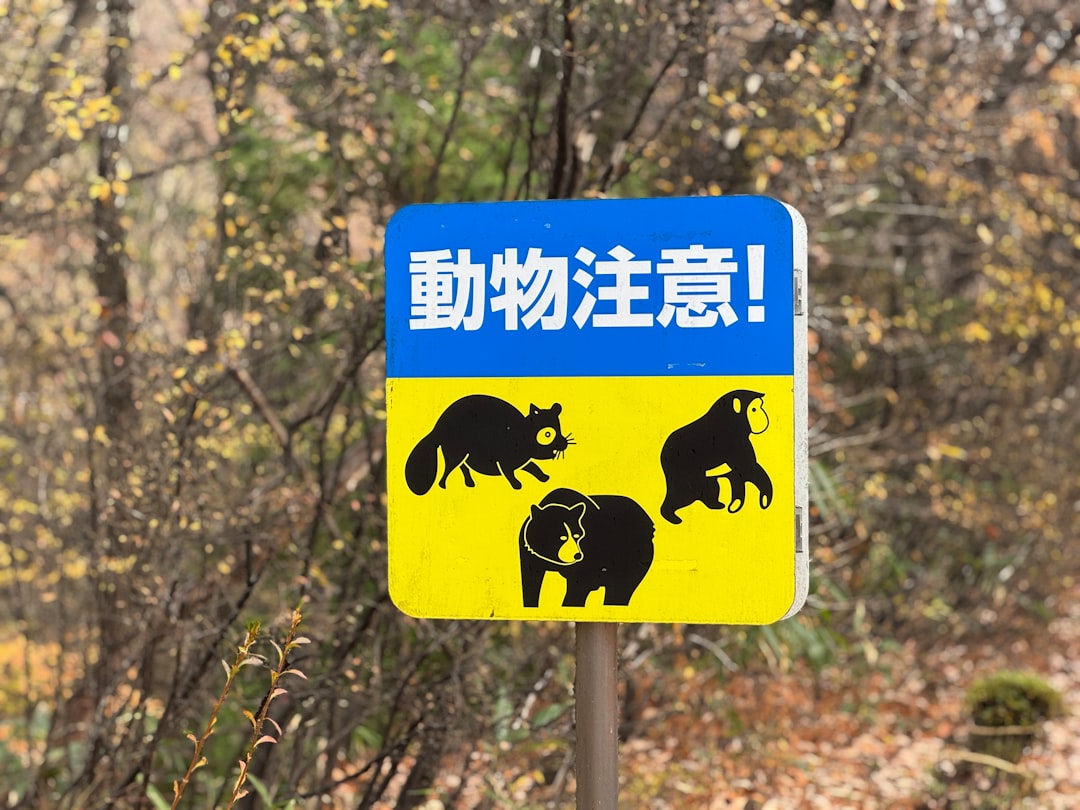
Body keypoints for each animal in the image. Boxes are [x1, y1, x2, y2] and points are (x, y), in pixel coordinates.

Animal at [659, 389, 773, 525]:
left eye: (760, 406)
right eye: (754, 409)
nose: (764, 415)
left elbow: (738, 474)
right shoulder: (733, 442)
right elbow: (748, 468)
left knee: (708, 485)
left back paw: (714, 504)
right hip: (682, 472)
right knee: (684, 493)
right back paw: (671, 515)